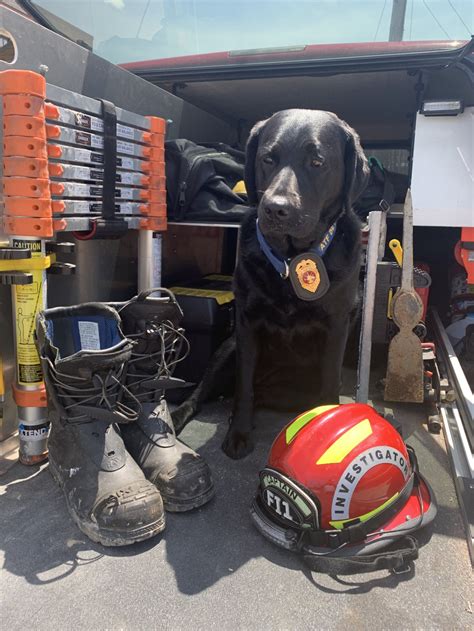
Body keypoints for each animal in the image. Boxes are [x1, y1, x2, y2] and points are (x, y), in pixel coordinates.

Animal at [172, 111, 368, 460]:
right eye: (267, 158)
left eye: (317, 161)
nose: (276, 208)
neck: (291, 261)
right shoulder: (247, 325)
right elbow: (244, 386)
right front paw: (238, 436)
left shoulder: (336, 326)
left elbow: (330, 384)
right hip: (227, 350)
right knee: (205, 393)